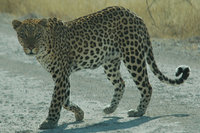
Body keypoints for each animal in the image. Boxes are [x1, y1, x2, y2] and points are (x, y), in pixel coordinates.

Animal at [12, 5, 191, 129]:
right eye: (22, 35)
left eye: (37, 35)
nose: (30, 48)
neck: (44, 48)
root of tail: (136, 15)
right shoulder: (62, 76)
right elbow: (65, 100)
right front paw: (79, 114)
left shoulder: (61, 75)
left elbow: (56, 100)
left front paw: (50, 122)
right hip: (110, 62)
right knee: (121, 83)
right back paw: (110, 109)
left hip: (133, 56)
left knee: (146, 85)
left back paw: (138, 111)